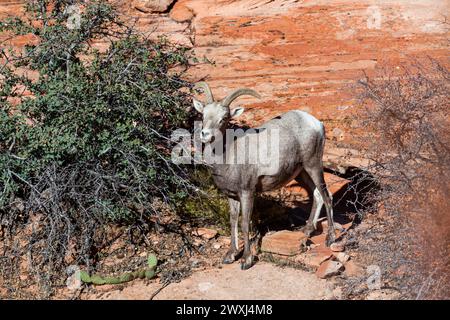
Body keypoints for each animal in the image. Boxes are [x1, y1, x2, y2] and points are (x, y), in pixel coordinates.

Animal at [192, 81, 336, 268]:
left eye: (223, 118)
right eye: (203, 115)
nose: (205, 135)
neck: (228, 155)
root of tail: (316, 123)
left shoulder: (247, 193)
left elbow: (245, 223)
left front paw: (246, 260)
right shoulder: (231, 196)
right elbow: (233, 221)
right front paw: (230, 255)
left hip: (313, 165)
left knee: (327, 196)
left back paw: (330, 239)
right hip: (301, 172)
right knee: (317, 194)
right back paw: (306, 230)